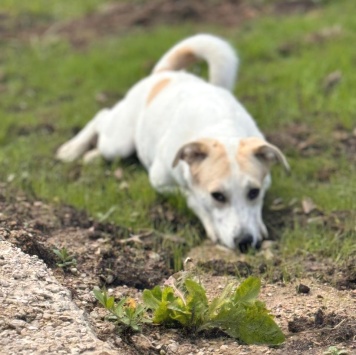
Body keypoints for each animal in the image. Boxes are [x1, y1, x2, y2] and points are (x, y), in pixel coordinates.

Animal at [56, 32, 290, 250]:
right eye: (217, 196)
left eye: (253, 192)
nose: (245, 242)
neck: (220, 128)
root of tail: (164, 73)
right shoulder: (160, 181)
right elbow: (192, 197)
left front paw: (258, 224)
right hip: (118, 142)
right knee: (102, 116)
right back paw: (72, 149)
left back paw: (92, 156)